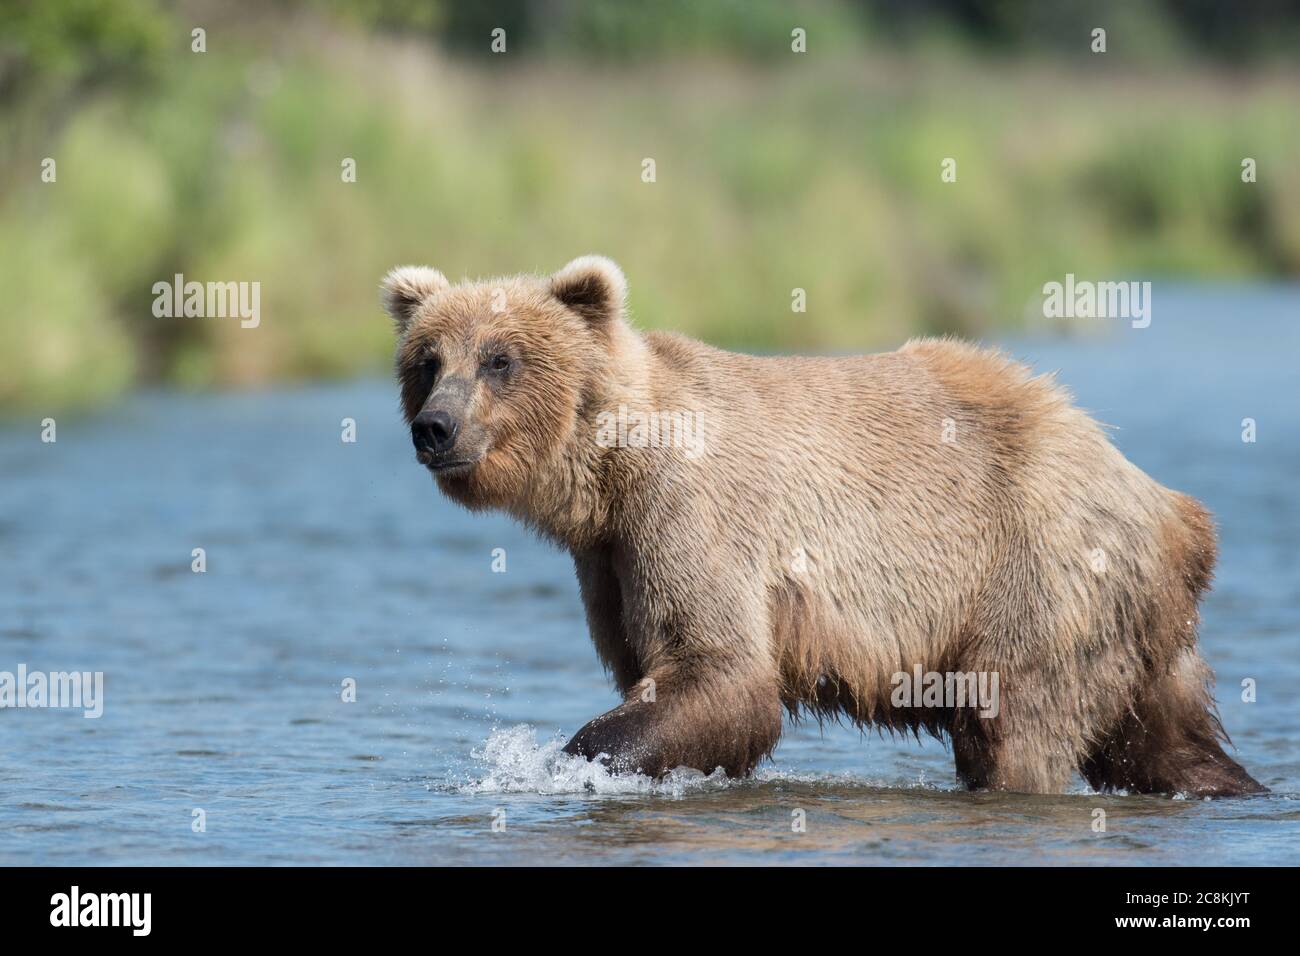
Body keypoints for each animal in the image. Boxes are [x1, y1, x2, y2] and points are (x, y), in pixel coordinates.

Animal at [379, 256, 1263, 801]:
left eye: (499, 359)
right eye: (427, 360)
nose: (434, 427)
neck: (608, 467)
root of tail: (1174, 511)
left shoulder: (689, 513)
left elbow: (719, 668)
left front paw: (561, 762)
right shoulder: (607, 556)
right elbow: (671, 676)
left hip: (1040, 572)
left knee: (1014, 724)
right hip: (1132, 623)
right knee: (1165, 740)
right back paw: (1234, 786)